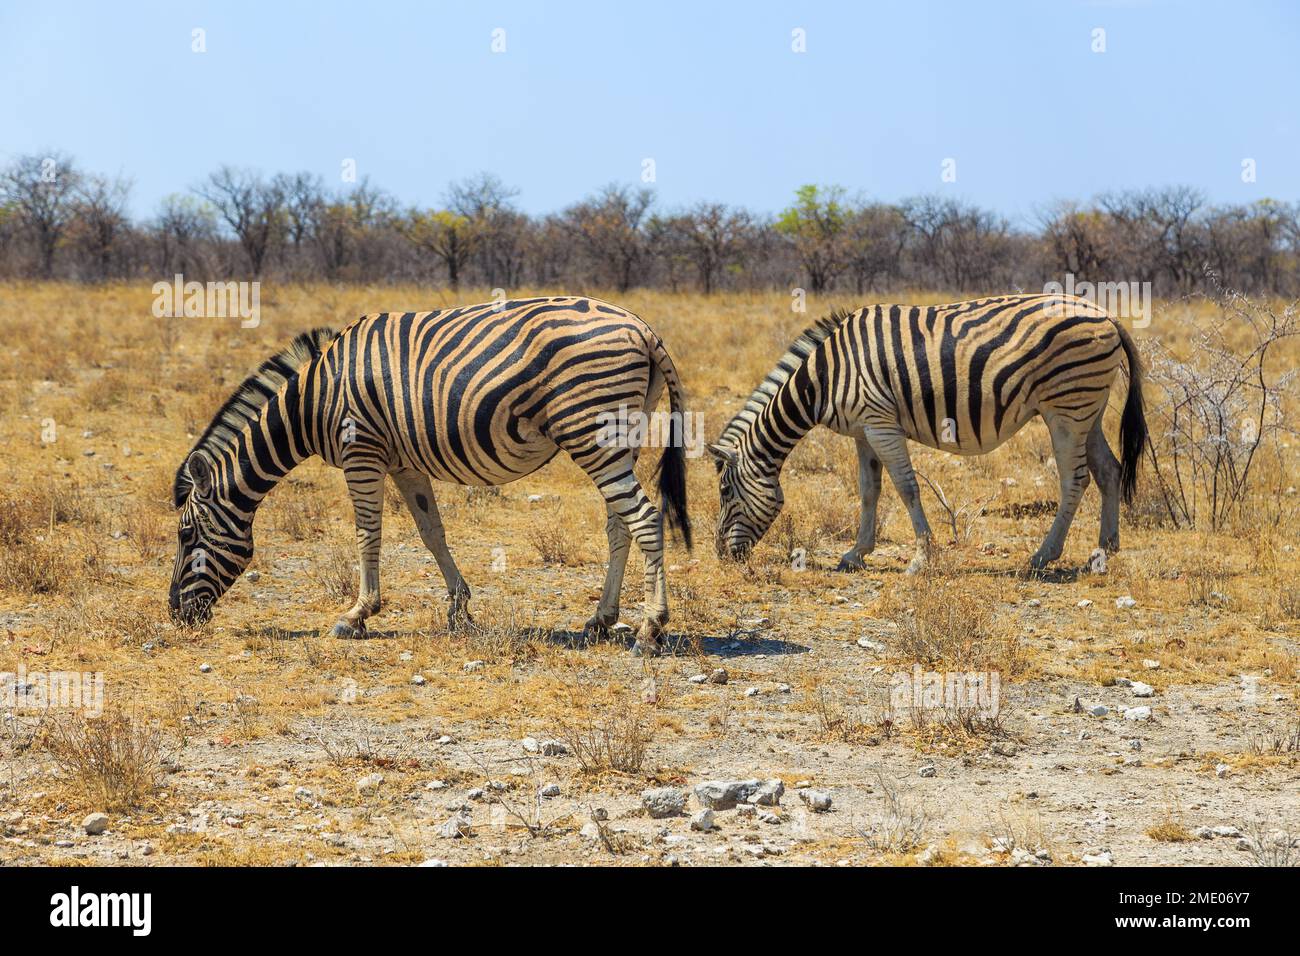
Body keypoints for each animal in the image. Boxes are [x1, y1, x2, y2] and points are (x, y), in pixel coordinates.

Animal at [169, 296, 691, 655]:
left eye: (186, 534)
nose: (175, 613)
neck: (312, 402)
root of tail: (644, 329)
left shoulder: (362, 452)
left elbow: (367, 533)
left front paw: (356, 615)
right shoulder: (404, 462)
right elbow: (431, 531)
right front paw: (459, 608)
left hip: (594, 434)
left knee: (646, 519)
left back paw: (650, 628)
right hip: (620, 438)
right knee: (619, 524)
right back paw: (601, 619)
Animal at [707, 293, 1147, 573]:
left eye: (725, 492)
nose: (721, 555)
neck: (825, 379)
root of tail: (1106, 314)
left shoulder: (881, 424)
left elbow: (906, 488)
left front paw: (920, 559)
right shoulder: (864, 431)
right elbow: (869, 490)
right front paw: (855, 554)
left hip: (1065, 410)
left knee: (1075, 479)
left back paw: (1044, 555)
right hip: (1088, 409)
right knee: (1109, 470)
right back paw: (1106, 548)